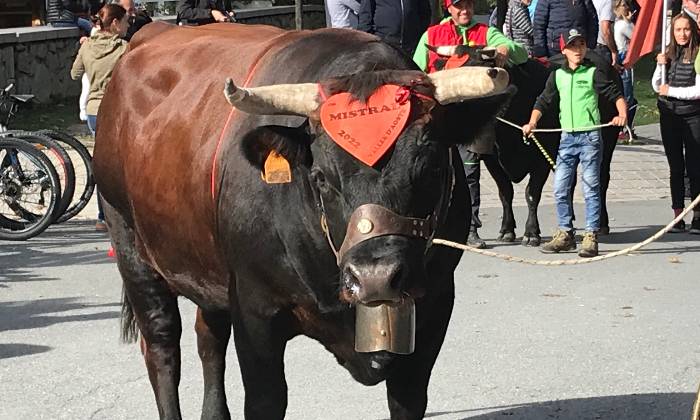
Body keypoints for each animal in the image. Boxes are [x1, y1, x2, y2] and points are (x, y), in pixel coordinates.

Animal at [93, 21, 512, 418]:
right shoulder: (255, 312)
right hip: (130, 246)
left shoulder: (436, 305)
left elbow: (408, 400)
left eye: (433, 168)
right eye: (321, 177)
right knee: (162, 347)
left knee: (208, 337)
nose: (375, 277)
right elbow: (266, 401)